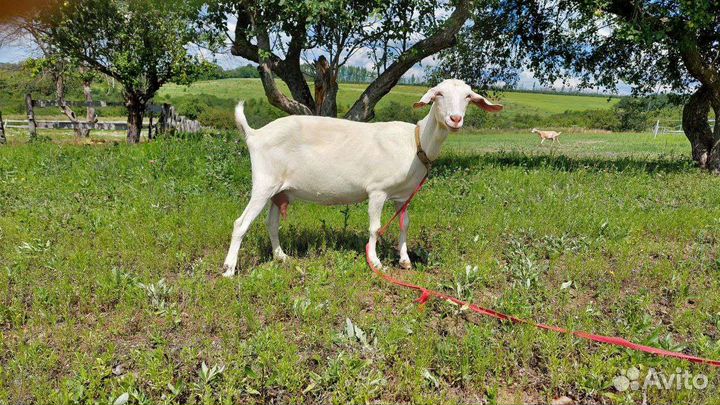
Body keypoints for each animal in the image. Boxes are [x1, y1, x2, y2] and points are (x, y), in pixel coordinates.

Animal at [222, 79, 503, 277]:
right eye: (438, 95)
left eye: (468, 96)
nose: (455, 119)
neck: (415, 142)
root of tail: (254, 134)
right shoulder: (377, 190)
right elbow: (375, 227)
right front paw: (376, 263)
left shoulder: (404, 196)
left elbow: (404, 224)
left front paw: (405, 260)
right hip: (264, 182)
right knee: (240, 223)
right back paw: (229, 270)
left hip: (279, 190)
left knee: (271, 223)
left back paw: (281, 257)